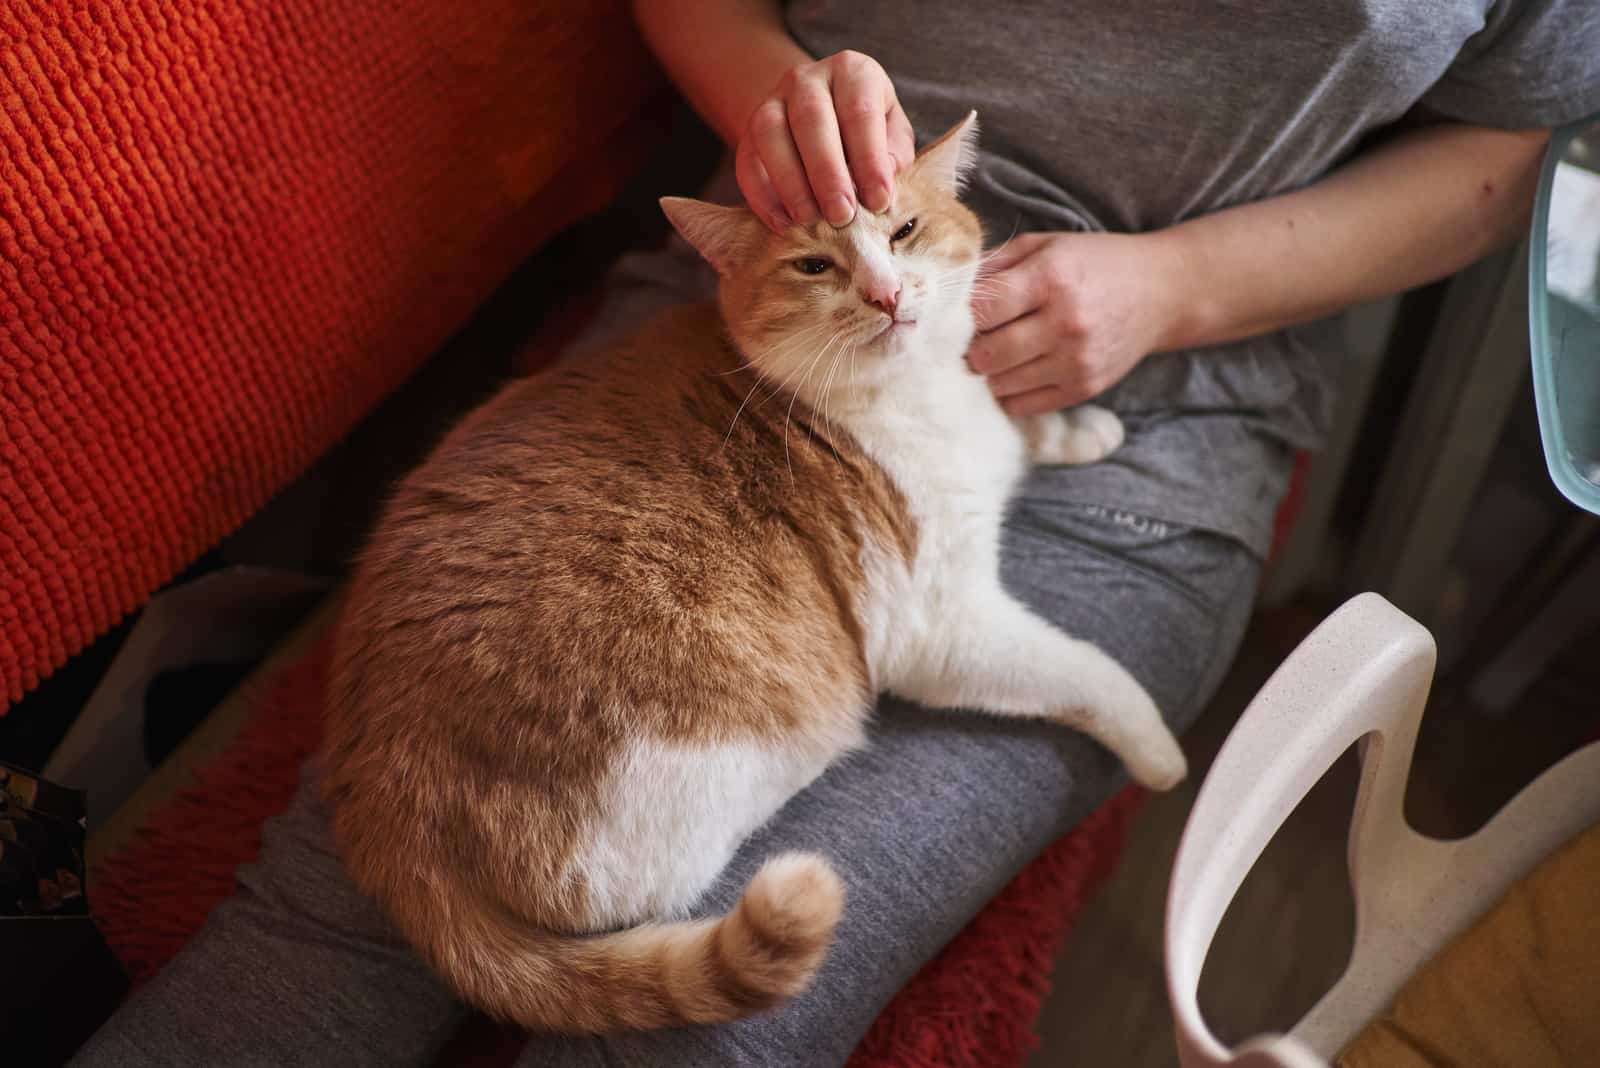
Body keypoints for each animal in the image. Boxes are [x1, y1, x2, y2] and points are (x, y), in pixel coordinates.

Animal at [318, 115, 1184, 1036]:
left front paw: (1078, 428)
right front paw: (1162, 753)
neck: (915, 398)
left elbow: (1022, 429)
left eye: (904, 230)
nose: (886, 295)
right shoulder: (946, 629)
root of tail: (379, 808)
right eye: (813, 267)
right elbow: (1088, 671)